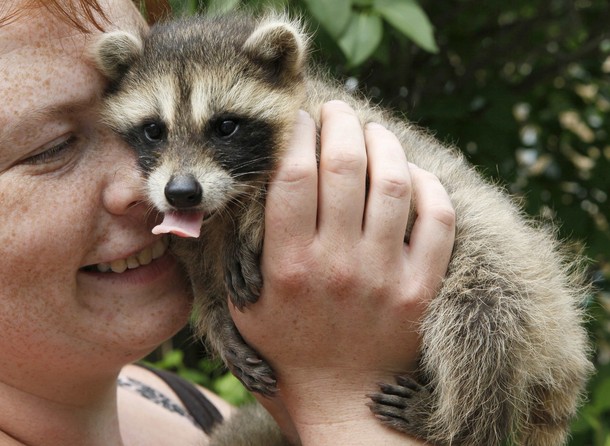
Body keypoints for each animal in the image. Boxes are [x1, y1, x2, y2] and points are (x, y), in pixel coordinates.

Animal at [92, 11, 592, 446]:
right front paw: (216, 319)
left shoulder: (346, 134)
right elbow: (205, 276)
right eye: (154, 130)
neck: (221, 205)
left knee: (483, 318)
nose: (181, 193)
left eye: (225, 126)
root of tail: (567, 341)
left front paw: (249, 220)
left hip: (510, 271)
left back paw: (459, 421)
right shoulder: (190, 233)